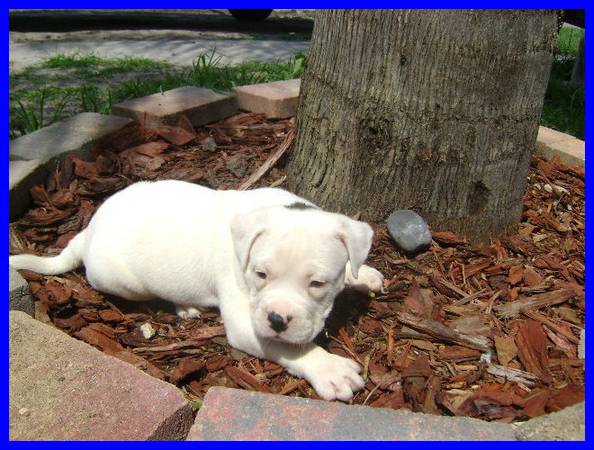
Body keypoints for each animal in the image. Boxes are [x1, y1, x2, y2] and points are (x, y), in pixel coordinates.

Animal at [10, 180, 384, 400]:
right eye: (260, 274)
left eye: (317, 284)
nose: (277, 319)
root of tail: (87, 232)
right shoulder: (247, 322)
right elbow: (289, 347)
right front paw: (329, 369)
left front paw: (361, 273)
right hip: (123, 282)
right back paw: (184, 306)